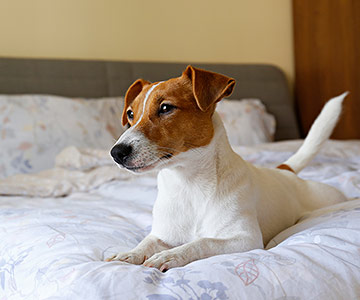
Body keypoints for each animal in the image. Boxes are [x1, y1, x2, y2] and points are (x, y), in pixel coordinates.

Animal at [105, 65, 348, 272]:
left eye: (165, 108)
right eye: (130, 114)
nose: (116, 152)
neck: (188, 183)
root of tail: (285, 170)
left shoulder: (245, 239)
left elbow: (201, 242)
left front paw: (170, 255)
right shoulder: (163, 234)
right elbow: (147, 242)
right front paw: (130, 253)